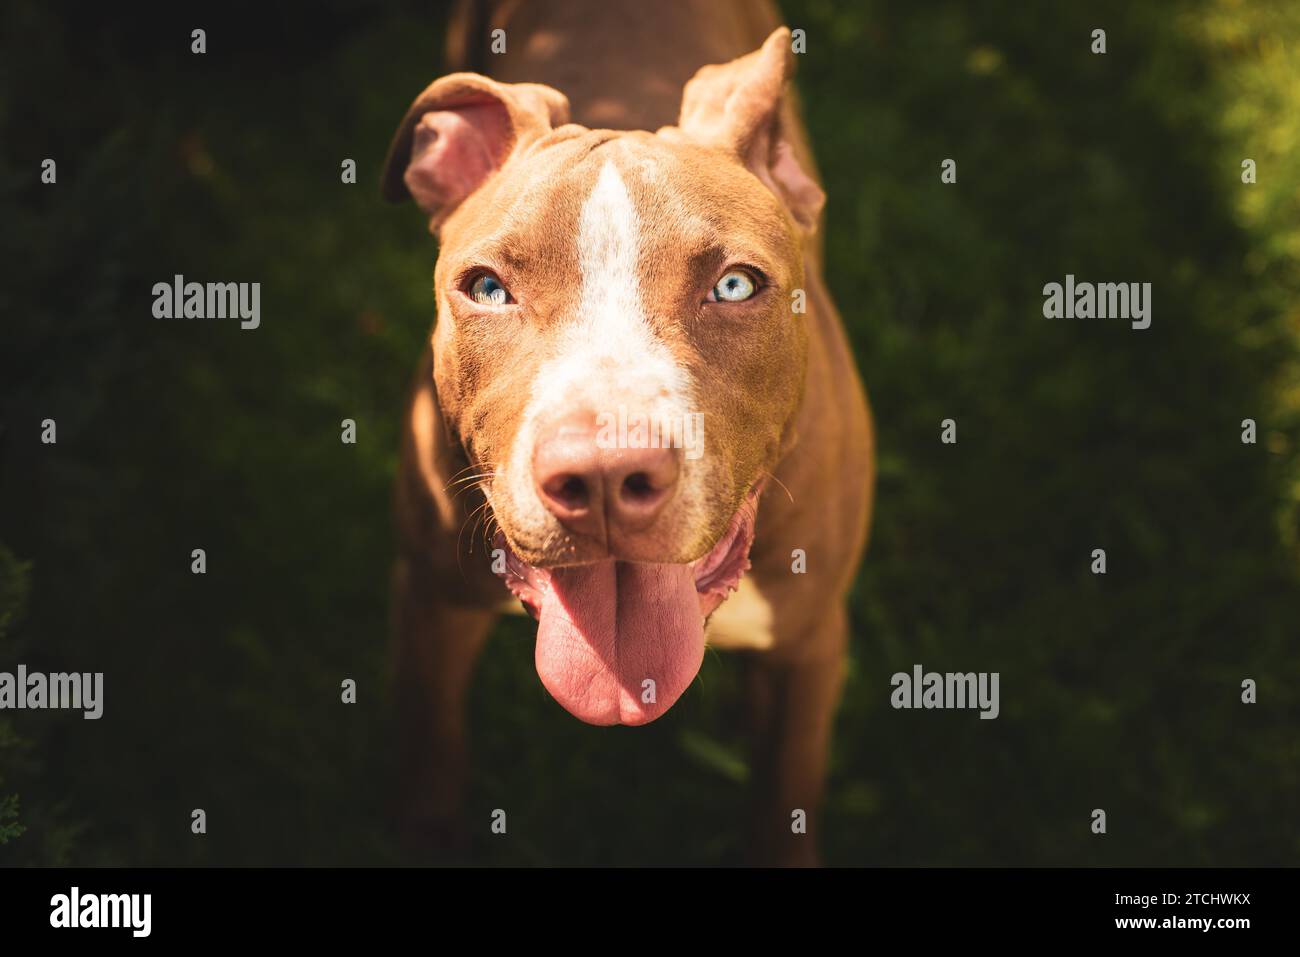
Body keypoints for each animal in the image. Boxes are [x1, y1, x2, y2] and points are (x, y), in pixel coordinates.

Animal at [384, 0, 873, 868]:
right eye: (487, 288)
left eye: (735, 284)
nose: (604, 478)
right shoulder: (431, 601)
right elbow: (430, 758)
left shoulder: (813, 641)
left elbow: (784, 795)